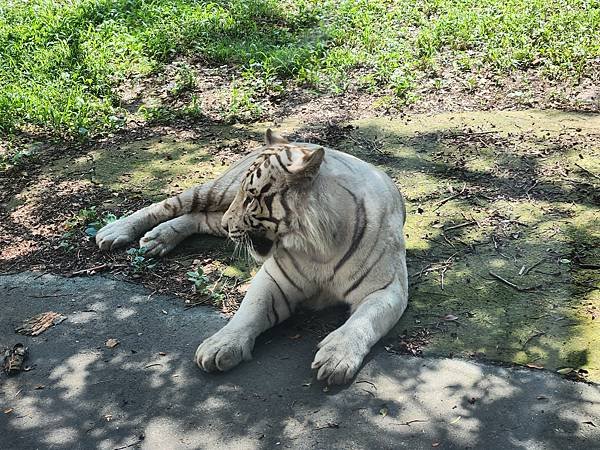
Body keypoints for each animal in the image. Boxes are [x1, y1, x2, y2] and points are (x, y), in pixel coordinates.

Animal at [97, 128, 408, 384]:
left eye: (250, 198)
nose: (228, 224)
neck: (319, 246)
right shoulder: (275, 279)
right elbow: (248, 313)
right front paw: (220, 346)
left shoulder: (386, 289)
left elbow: (362, 323)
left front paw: (336, 358)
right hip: (218, 190)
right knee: (170, 204)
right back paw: (116, 231)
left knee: (200, 217)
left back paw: (159, 238)